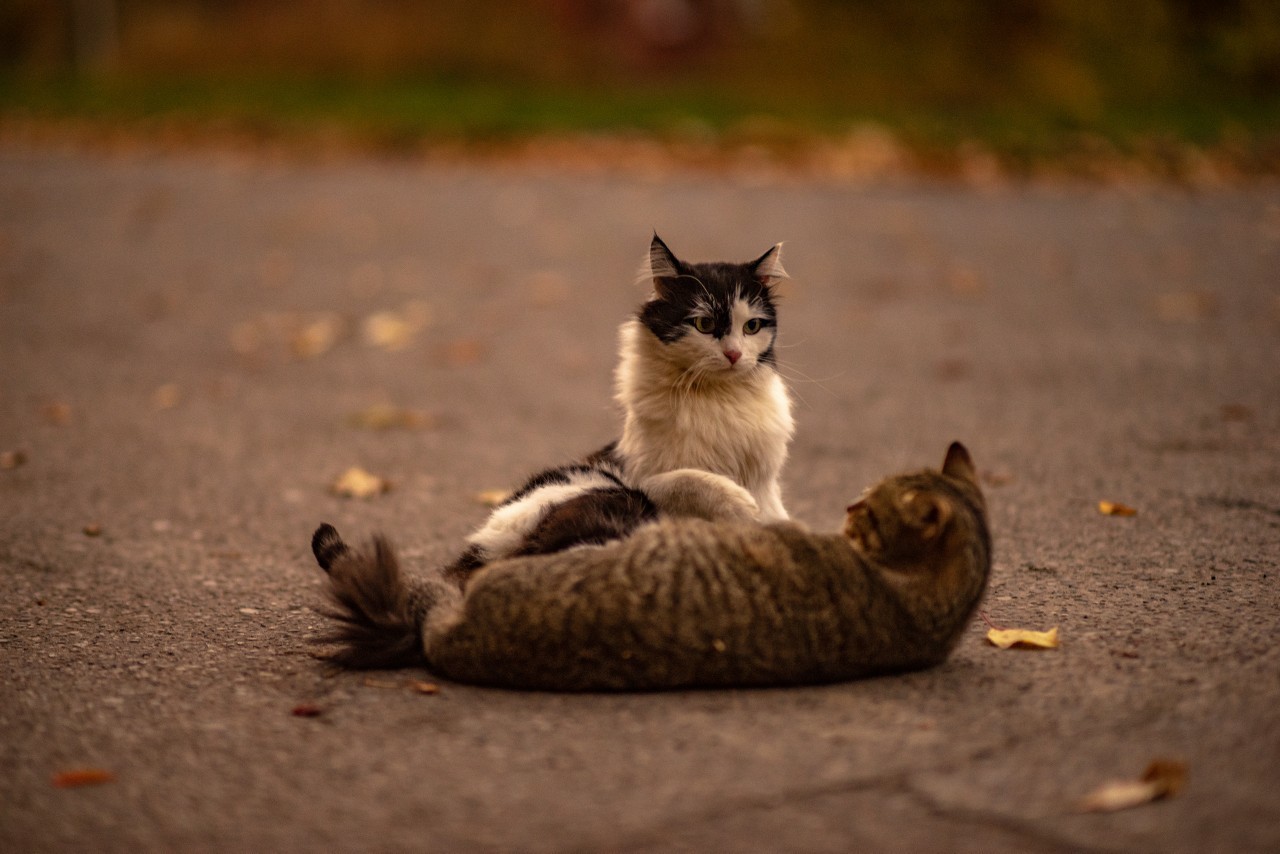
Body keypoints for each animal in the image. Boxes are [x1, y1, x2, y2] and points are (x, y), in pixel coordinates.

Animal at [445, 231, 793, 588]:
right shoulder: (642, 476)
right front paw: (741, 506)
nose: (734, 355)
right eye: (704, 324)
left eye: (751, 327)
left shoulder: (766, 485)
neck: (717, 396)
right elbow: (690, 480)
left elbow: (773, 516)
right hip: (609, 497)